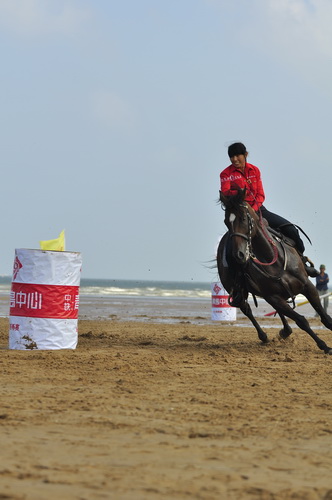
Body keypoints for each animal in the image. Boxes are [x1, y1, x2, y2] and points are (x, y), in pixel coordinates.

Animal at [217, 188, 332, 356]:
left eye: (243, 218)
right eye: (226, 222)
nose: (238, 254)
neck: (271, 257)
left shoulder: (307, 286)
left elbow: (324, 316)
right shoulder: (273, 296)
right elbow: (302, 321)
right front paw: (324, 346)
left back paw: (286, 331)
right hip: (240, 291)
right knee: (247, 308)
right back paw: (264, 336)